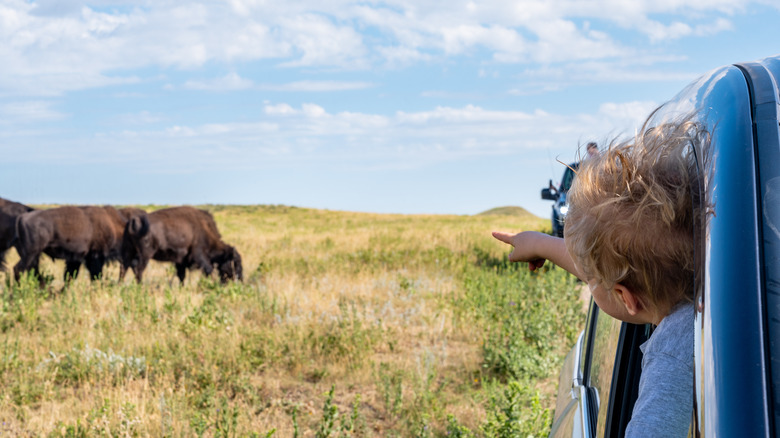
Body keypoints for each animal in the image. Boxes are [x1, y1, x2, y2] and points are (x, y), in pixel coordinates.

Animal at [13, 205, 148, 284]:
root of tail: (22, 218)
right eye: (135, 242)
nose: (139, 259)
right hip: (30, 254)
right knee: (18, 269)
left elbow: (70, 276)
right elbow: (95, 275)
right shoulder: (95, 258)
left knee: (32, 271)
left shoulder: (76, 259)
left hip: (33, 256)